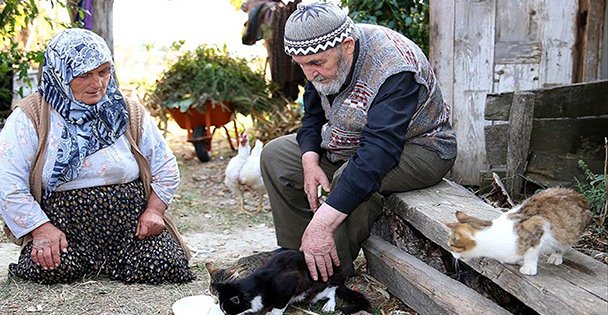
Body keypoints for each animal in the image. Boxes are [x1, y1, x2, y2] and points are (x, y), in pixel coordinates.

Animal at [214, 251, 370, 314]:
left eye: (228, 311)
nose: (224, 314)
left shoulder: (289, 284)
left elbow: (280, 305)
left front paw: (273, 313)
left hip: (317, 289)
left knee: (333, 290)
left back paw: (329, 306)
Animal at [444, 189, 592, 276]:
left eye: (451, 245)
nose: (451, 254)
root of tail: (580, 196)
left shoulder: (538, 225)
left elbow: (532, 253)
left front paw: (528, 267)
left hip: (570, 230)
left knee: (564, 243)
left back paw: (556, 255)